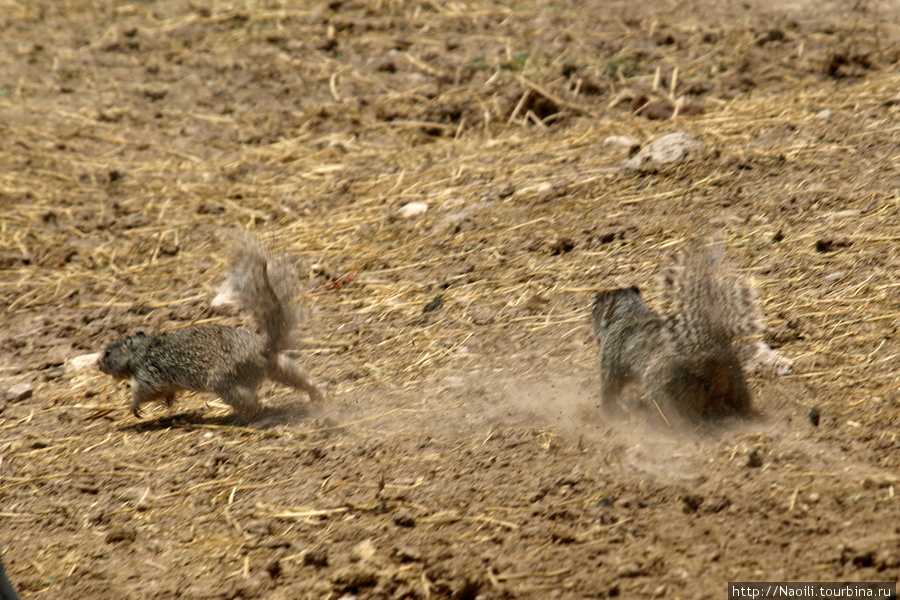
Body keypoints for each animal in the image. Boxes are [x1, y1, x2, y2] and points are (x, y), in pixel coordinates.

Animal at [99, 237, 324, 420]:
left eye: (108, 352)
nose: (99, 365)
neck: (142, 350)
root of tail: (263, 348)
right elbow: (166, 392)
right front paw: (169, 401)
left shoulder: (149, 374)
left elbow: (144, 391)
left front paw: (134, 407)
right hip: (278, 366)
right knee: (301, 376)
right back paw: (316, 394)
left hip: (226, 384)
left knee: (252, 404)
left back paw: (249, 416)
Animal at [592, 244, 788, 422]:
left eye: (595, 305)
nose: (594, 298)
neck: (629, 313)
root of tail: (714, 365)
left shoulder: (610, 359)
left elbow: (609, 389)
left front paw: (607, 413)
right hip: (737, 382)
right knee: (741, 403)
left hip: (662, 386)